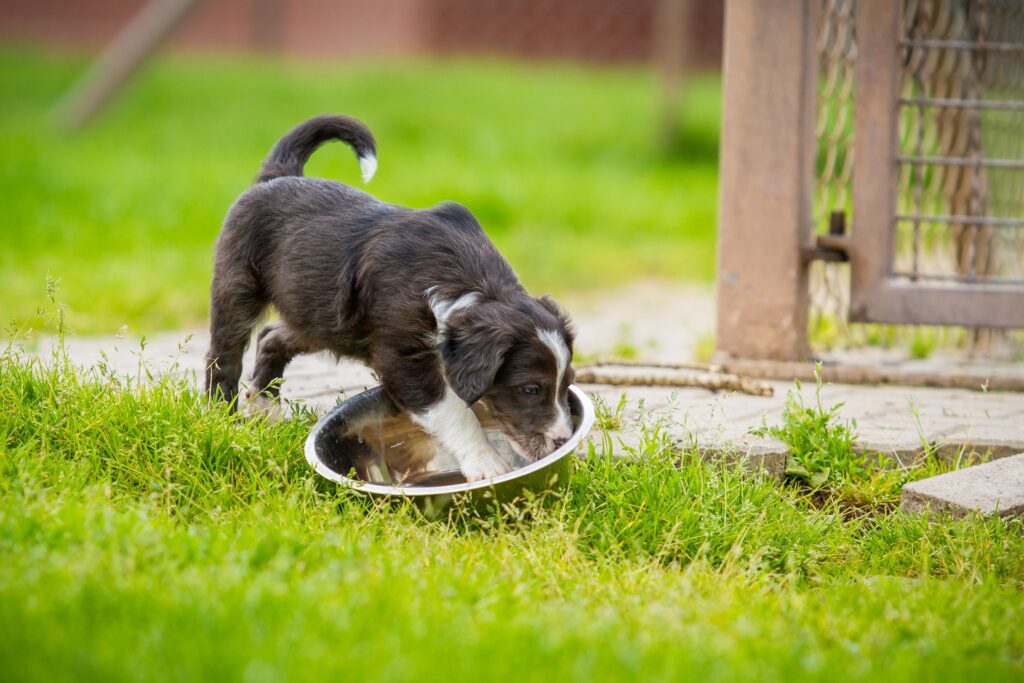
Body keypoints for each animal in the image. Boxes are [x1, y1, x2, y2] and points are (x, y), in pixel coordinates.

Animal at [205, 113, 577, 481]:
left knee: (272, 337)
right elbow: (453, 410)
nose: (562, 441)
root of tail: (279, 175)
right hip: (237, 287)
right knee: (223, 356)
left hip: (316, 318)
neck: (470, 286)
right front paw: (486, 462)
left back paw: (263, 407)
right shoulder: (401, 358)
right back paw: (220, 418)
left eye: (567, 383)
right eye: (530, 389)